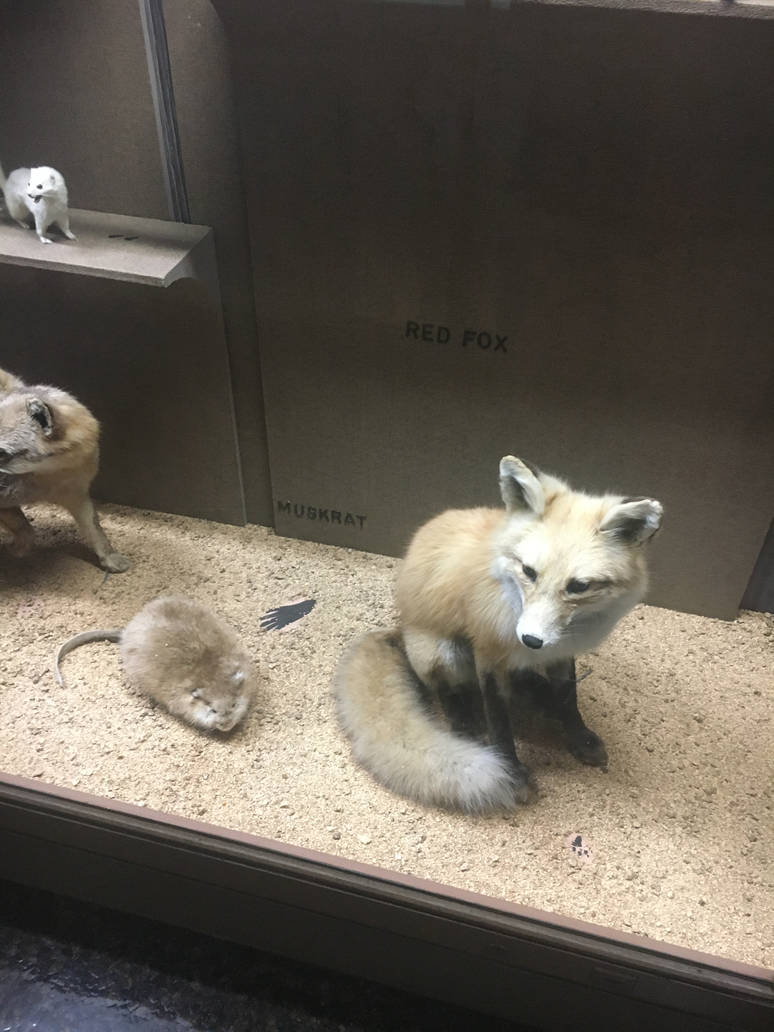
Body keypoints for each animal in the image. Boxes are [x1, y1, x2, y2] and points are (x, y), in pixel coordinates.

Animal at [0, 366, 130, 572]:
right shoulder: (4, 503)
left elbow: (96, 530)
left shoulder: (77, 495)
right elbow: (26, 529)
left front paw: (109, 557)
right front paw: (19, 550)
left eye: (1, 453)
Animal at [333, 456, 663, 814]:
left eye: (578, 586)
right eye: (529, 572)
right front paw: (511, 772)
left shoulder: (560, 653)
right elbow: (498, 720)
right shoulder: (488, 654)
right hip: (444, 654)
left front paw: (578, 736)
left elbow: (568, 698)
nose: (531, 640)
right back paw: (468, 729)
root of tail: (401, 629)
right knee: (452, 698)